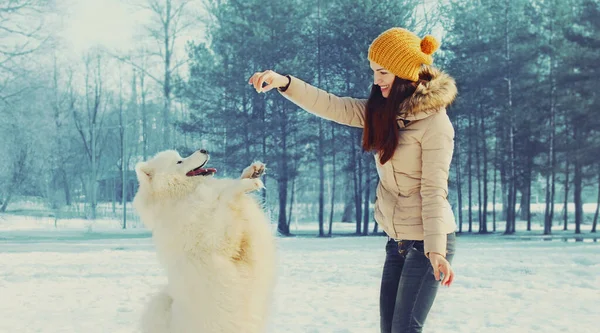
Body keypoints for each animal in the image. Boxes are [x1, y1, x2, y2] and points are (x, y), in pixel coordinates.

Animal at [132, 148, 276, 332]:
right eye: (179, 161)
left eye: (180, 156)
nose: (204, 149)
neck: (182, 196)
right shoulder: (218, 235)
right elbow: (226, 196)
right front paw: (247, 184)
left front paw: (252, 172)